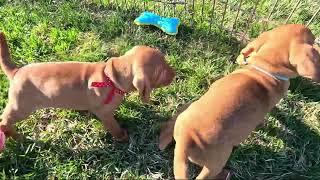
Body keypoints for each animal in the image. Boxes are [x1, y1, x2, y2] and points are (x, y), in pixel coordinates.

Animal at [0, 32, 175, 149]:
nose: (175, 74)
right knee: (4, 121)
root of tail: (16, 71)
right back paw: (16, 136)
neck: (110, 77)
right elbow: (114, 126)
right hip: (21, 107)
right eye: (161, 72)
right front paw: (122, 137)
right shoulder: (105, 115)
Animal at [158, 23, 320, 179]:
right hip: (218, 160)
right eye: (312, 38)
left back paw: (163, 139)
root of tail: (186, 140)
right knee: (206, 176)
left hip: (184, 112)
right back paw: (224, 174)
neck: (265, 68)